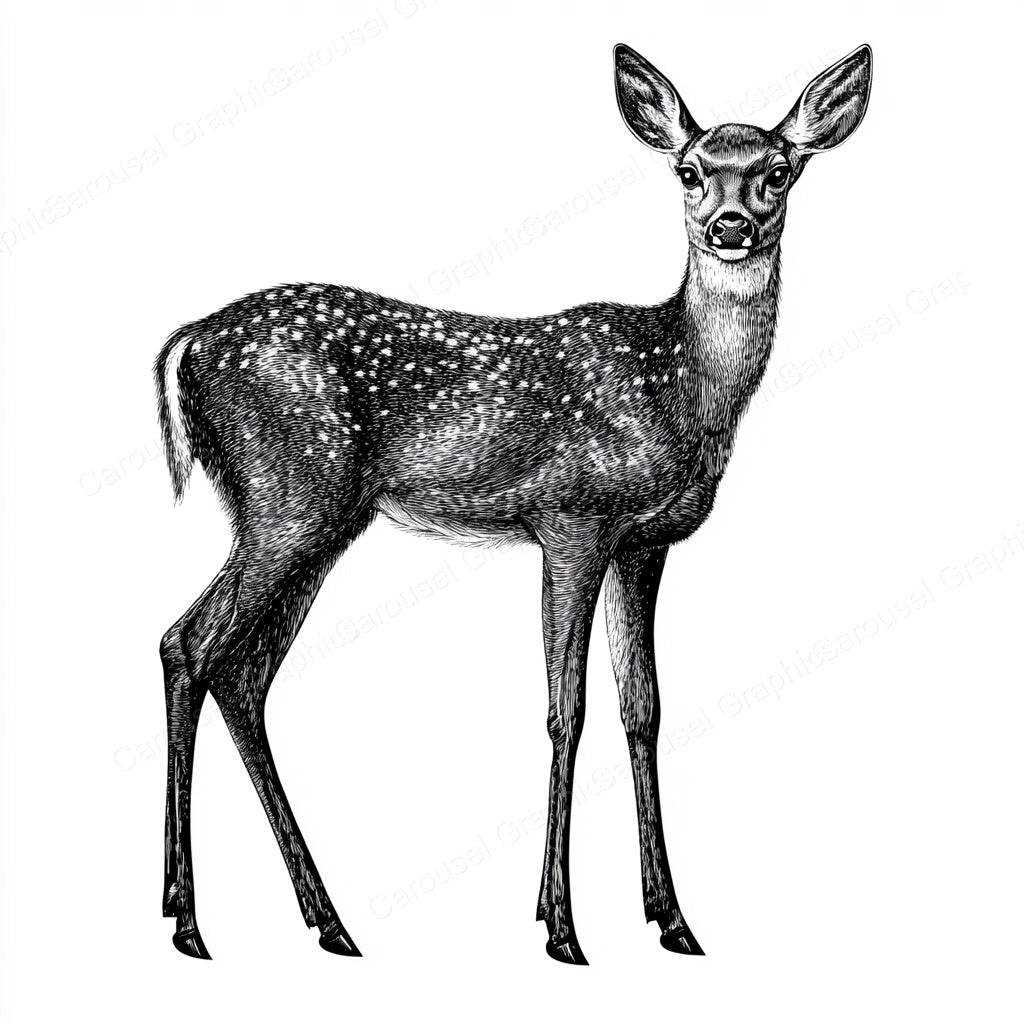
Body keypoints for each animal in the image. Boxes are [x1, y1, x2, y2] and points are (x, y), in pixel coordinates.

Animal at [155, 42, 872, 965]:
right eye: (688, 170)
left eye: (779, 171)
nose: (729, 227)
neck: (679, 385)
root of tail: (188, 342)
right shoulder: (571, 519)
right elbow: (566, 709)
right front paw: (560, 925)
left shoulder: (643, 543)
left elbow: (643, 707)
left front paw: (671, 918)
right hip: (289, 494)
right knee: (191, 643)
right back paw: (189, 919)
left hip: (315, 517)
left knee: (240, 670)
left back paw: (322, 921)